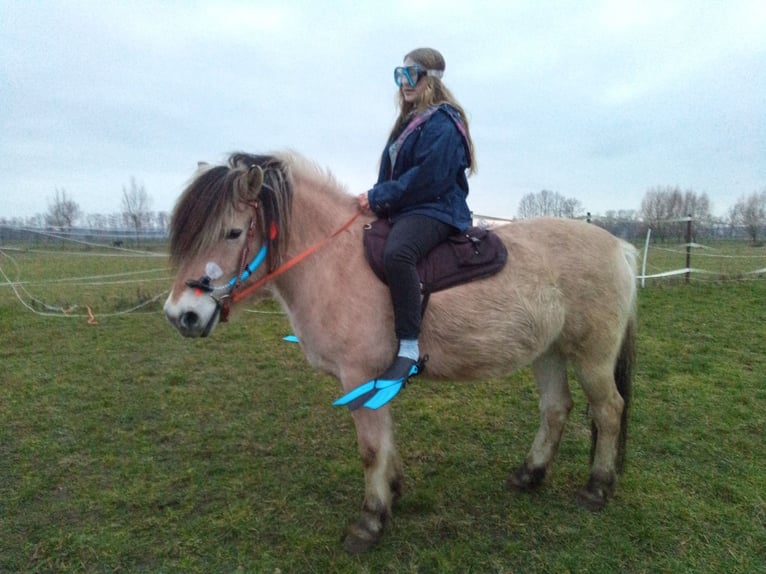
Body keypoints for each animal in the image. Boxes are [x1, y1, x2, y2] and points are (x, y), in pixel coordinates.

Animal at [164, 151, 638, 554]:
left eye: (233, 232)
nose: (180, 315)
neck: (334, 261)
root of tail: (620, 247)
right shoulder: (376, 379)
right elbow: (386, 443)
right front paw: (392, 493)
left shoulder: (358, 377)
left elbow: (371, 449)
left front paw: (370, 521)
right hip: (549, 350)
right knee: (556, 408)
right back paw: (529, 475)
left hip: (592, 357)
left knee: (609, 410)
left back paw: (597, 487)